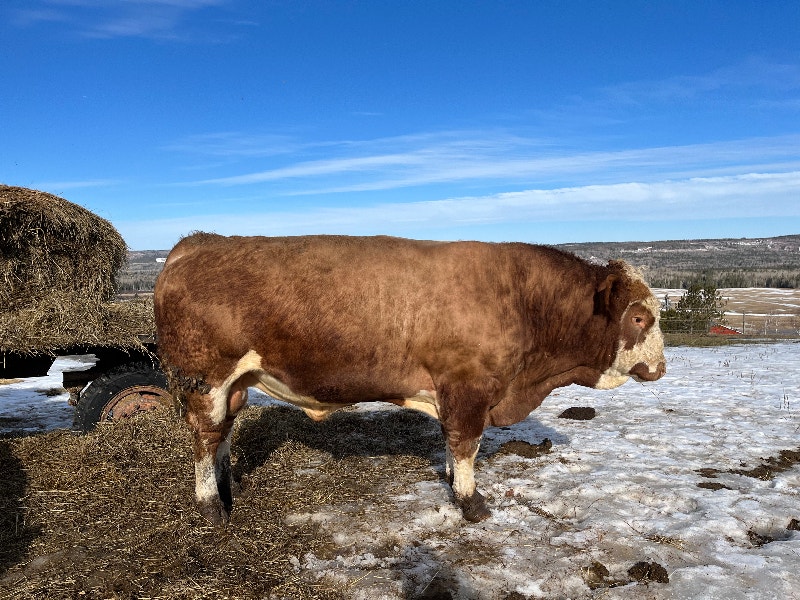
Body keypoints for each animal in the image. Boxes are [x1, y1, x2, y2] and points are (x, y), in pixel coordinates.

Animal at [153, 233, 665, 525]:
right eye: (639, 317)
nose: (661, 368)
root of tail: (196, 242)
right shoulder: (468, 386)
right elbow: (466, 443)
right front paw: (471, 501)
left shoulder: (453, 391)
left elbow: (451, 441)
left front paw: (451, 480)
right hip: (206, 378)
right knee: (205, 437)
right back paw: (211, 507)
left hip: (235, 385)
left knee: (223, 433)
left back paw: (230, 487)